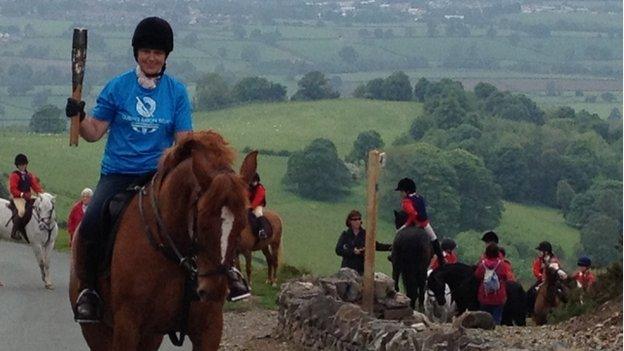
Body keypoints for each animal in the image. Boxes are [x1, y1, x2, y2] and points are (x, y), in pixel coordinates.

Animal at [70, 132, 258, 351]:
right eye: (202, 221)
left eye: (242, 224)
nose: (214, 291)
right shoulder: (127, 326)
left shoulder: (209, 329)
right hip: (98, 332)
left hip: (151, 336)